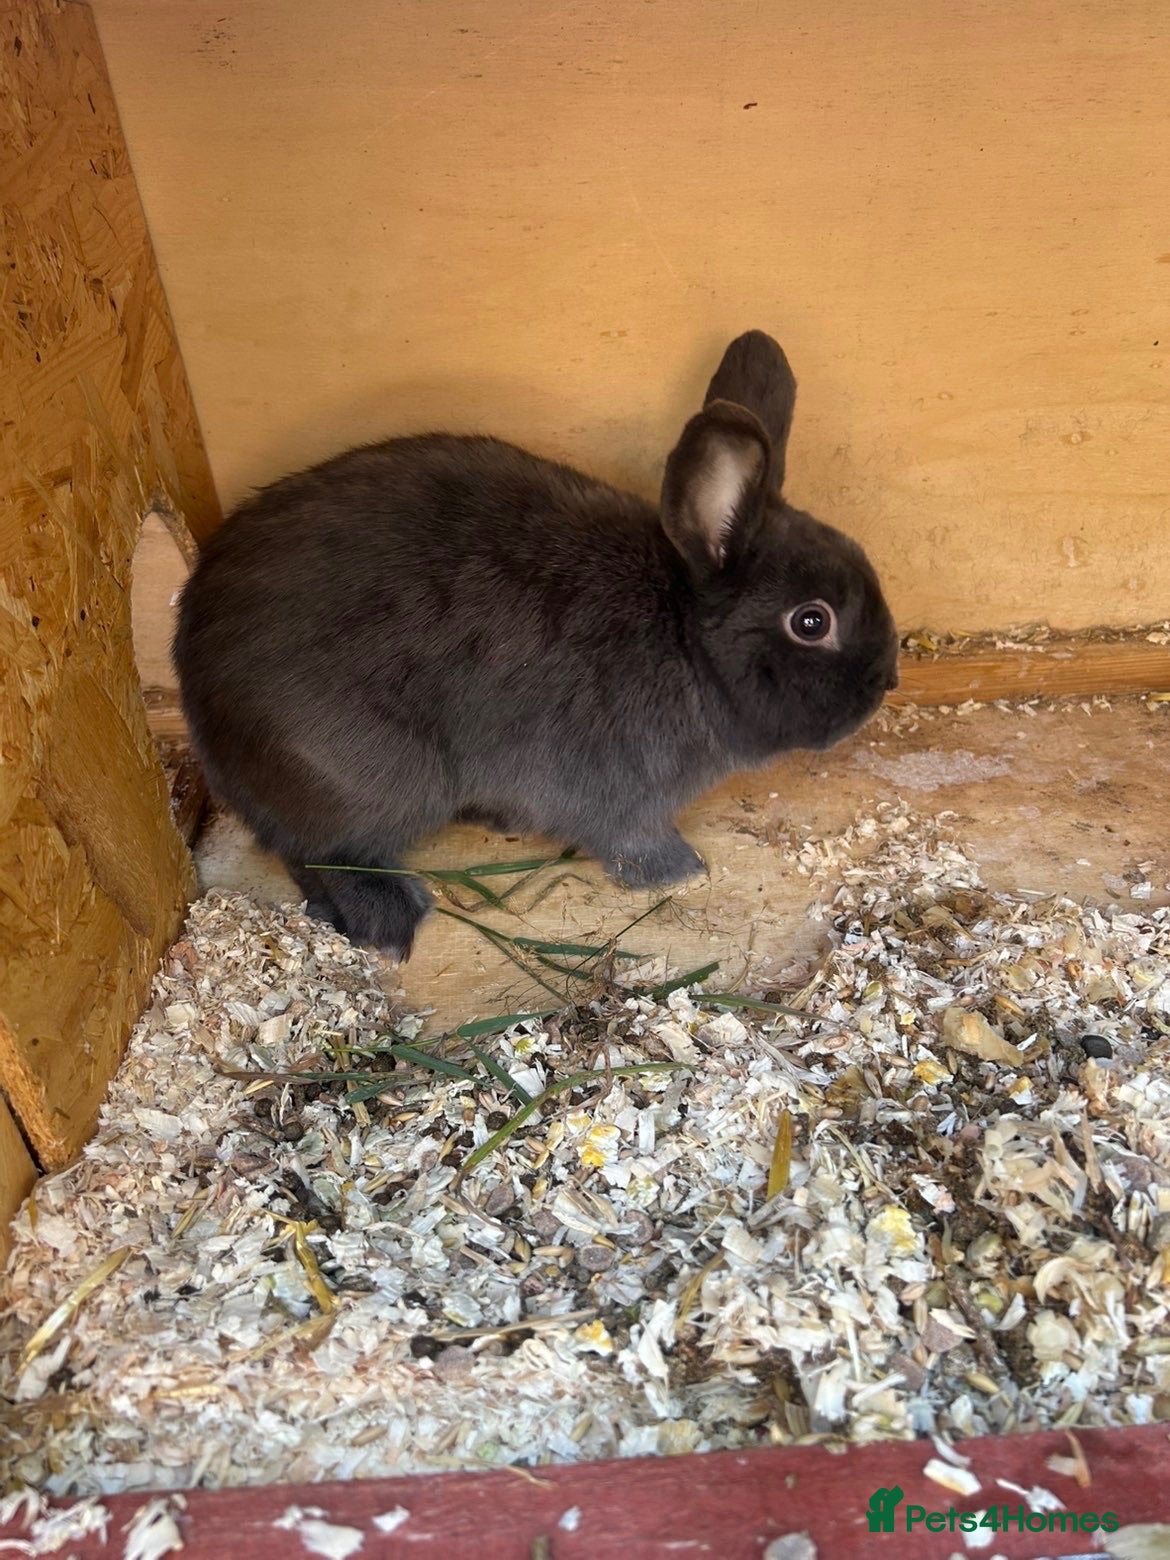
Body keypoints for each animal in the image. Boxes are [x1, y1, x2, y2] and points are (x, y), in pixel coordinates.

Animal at [174, 330, 899, 960]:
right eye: (812, 622)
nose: (887, 682)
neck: (685, 635)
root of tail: (198, 702)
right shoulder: (620, 790)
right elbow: (632, 841)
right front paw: (683, 870)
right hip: (369, 777)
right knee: (316, 851)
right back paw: (390, 918)